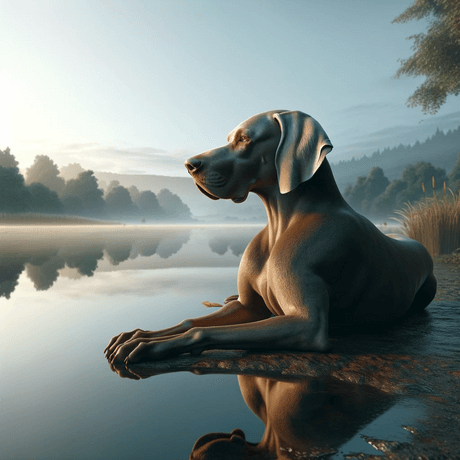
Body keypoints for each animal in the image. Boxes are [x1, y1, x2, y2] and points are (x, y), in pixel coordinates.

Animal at [105, 109, 438, 364]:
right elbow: (193, 321)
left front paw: (149, 346)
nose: (189, 165)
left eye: (245, 139)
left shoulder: (306, 325)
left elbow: (200, 330)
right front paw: (139, 334)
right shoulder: (248, 307)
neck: (282, 221)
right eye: (229, 138)